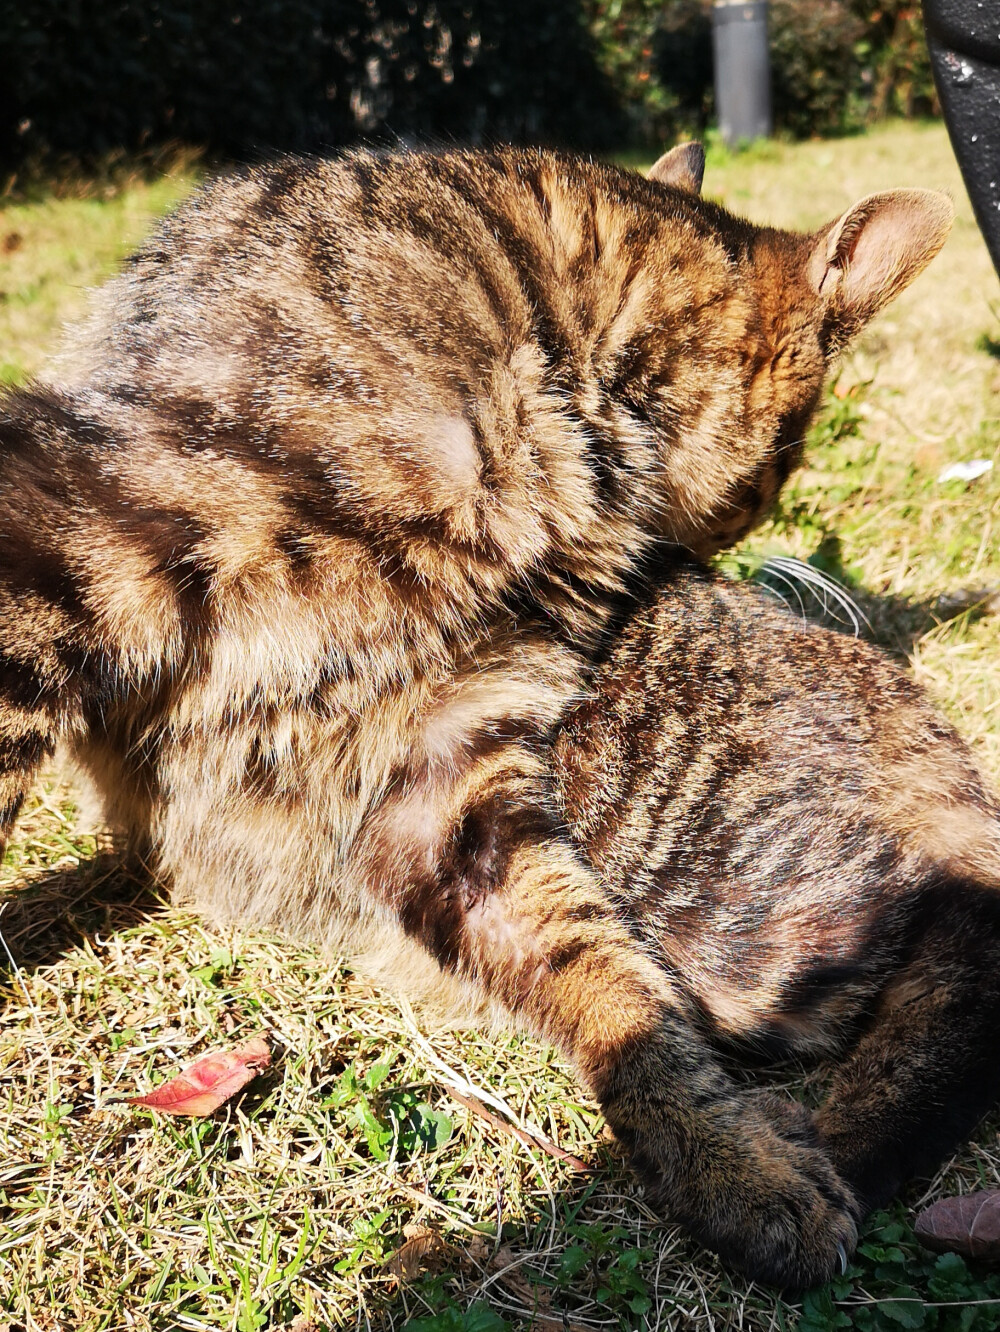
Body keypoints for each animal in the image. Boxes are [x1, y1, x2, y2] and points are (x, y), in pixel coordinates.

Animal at [0, 145, 948, 1289]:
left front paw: (726, 1159)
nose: (720, 548)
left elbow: (606, 985)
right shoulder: (63, 527)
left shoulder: (442, 782)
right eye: (787, 463)